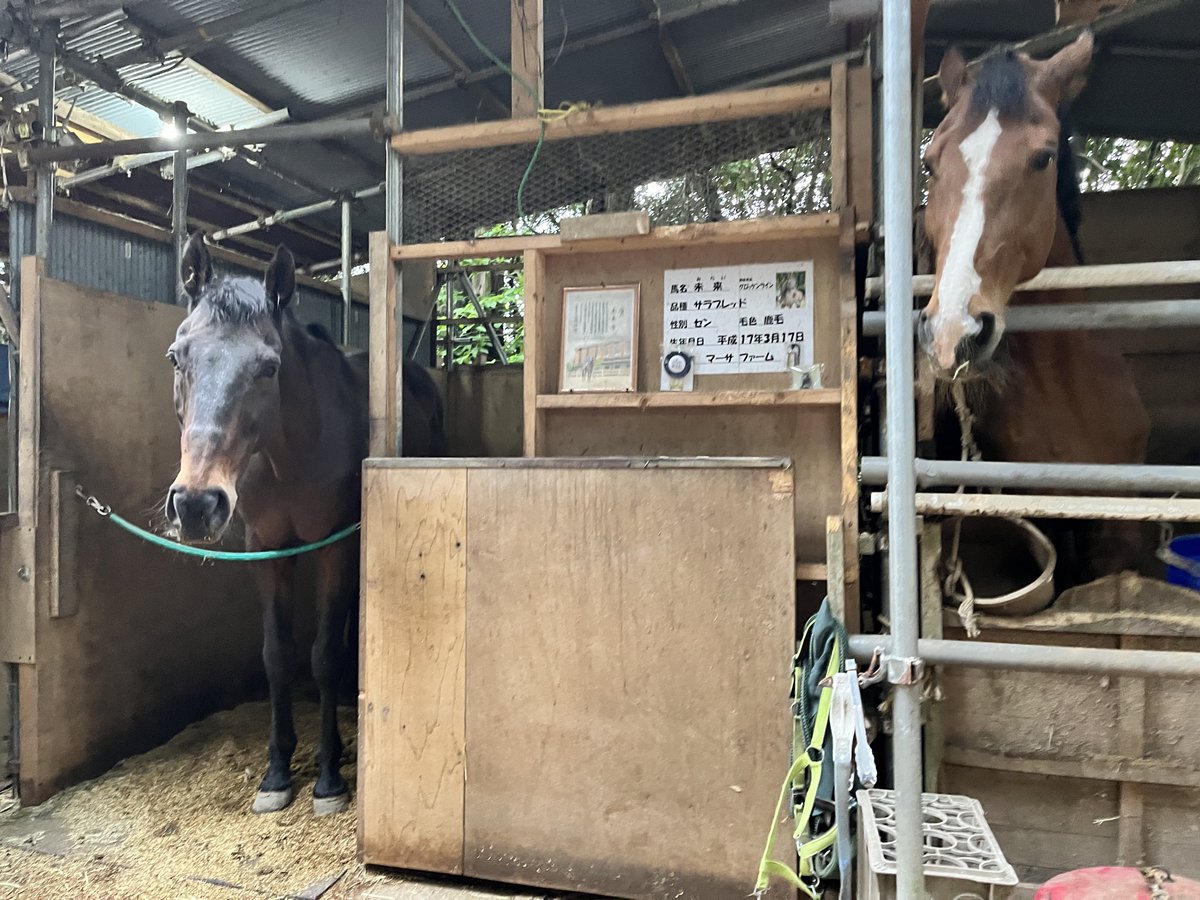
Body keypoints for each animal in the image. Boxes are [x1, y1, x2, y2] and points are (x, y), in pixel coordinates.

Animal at [164, 231, 445, 815]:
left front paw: (329, 775)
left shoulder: (334, 546)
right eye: (177, 358)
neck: (289, 453)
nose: (197, 504)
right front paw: (276, 773)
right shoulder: (266, 548)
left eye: (269, 367)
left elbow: (323, 654)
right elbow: (278, 655)